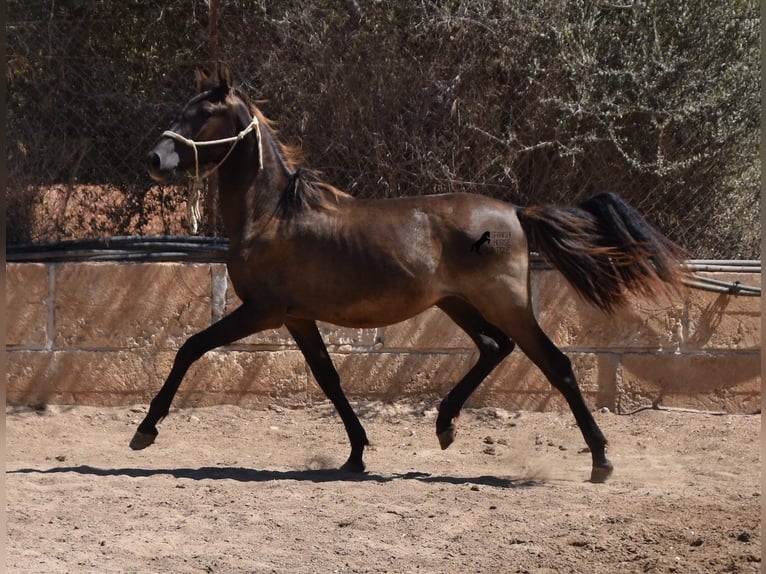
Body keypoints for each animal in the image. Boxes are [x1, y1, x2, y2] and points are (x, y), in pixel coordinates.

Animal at [134, 65, 688, 484]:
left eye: (204, 114)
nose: (154, 158)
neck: (272, 215)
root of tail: (515, 211)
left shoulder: (262, 312)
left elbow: (189, 348)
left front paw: (146, 430)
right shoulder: (297, 317)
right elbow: (328, 378)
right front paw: (356, 454)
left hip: (506, 303)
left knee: (555, 363)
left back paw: (601, 459)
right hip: (457, 302)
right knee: (495, 347)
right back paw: (445, 426)